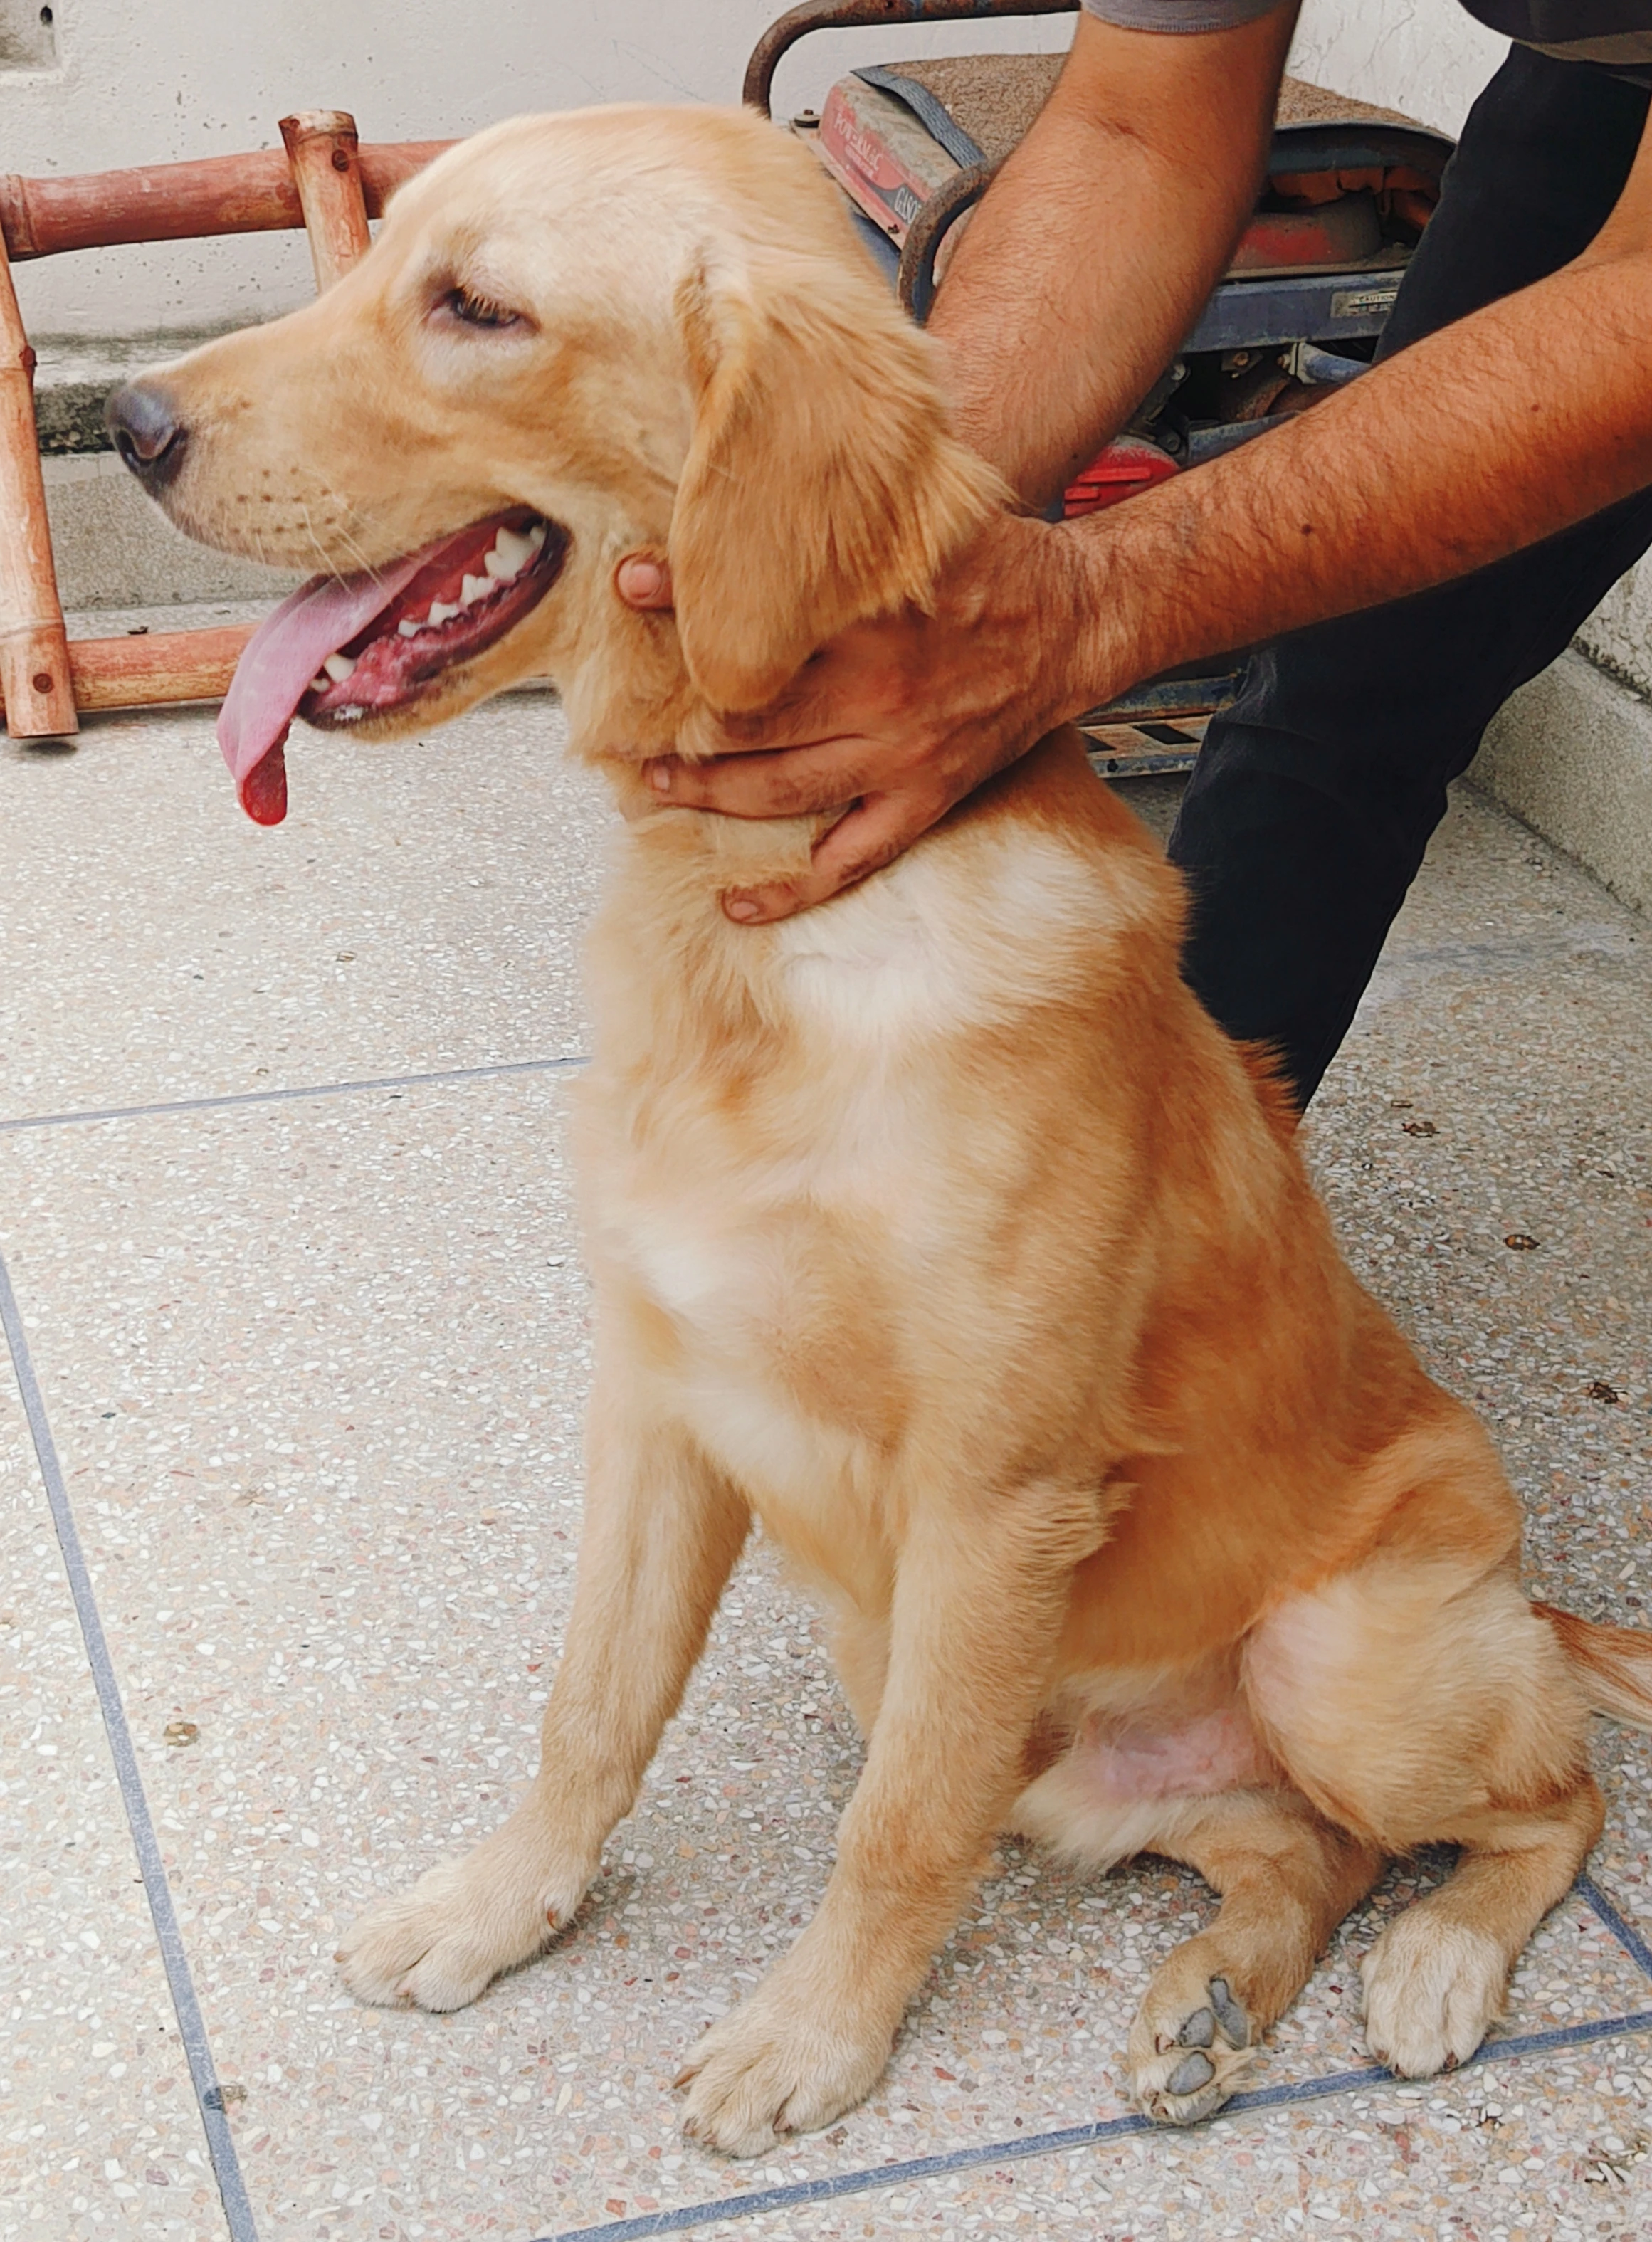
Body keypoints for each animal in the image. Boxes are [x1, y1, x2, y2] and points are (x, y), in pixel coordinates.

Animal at [110, 105, 1649, 2152]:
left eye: (477, 307)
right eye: (380, 265)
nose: (130, 421)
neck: (753, 930)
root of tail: (1530, 1607)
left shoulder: (989, 1504)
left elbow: (897, 1822)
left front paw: (812, 2036)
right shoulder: (661, 1401)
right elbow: (589, 1709)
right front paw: (498, 1904)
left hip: (1337, 1663)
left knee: (1546, 1800)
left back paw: (1440, 1958)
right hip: (1038, 1725)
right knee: (1299, 1848)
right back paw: (1213, 2001)